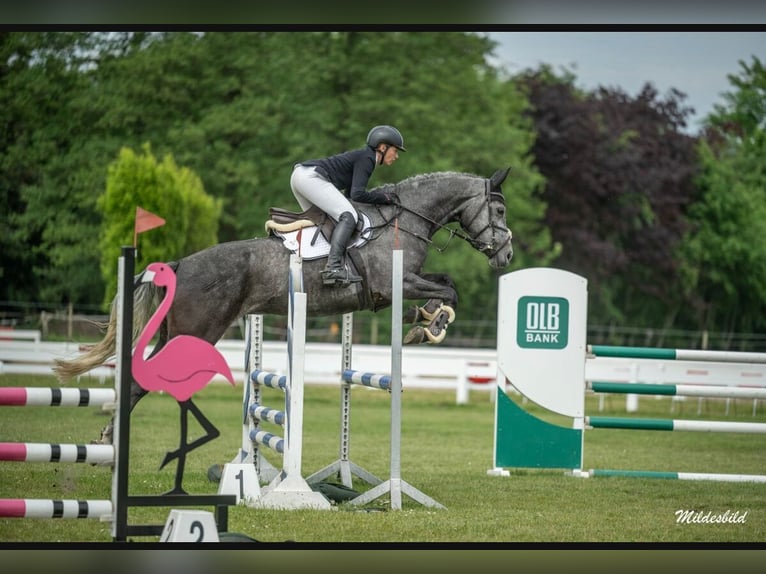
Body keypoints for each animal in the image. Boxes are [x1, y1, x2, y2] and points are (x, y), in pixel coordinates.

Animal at [54, 166, 516, 440]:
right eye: (497, 210)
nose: (507, 256)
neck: (405, 221)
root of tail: (180, 264)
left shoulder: (403, 284)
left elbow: (446, 284)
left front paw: (424, 318)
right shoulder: (396, 282)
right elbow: (449, 291)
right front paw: (430, 324)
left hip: (174, 333)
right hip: (195, 333)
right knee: (138, 383)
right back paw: (111, 440)